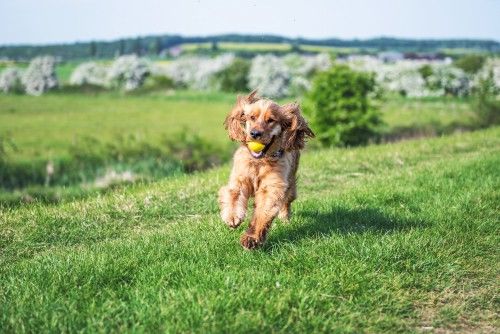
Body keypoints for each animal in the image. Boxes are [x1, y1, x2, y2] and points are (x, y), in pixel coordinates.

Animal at [218, 90, 312, 249]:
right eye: (252, 117)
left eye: (271, 120)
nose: (255, 134)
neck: (260, 161)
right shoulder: (240, 178)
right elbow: (234, 195)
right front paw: (232, 217)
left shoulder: (272, 186)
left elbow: (263, 211)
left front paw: (251, 238)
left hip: (291, 186)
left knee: (287, 202)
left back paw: (285, 218)